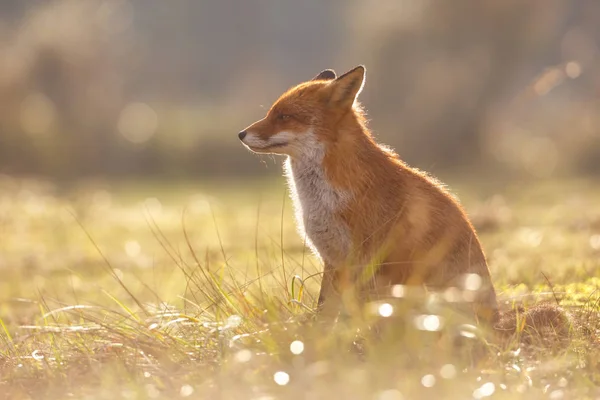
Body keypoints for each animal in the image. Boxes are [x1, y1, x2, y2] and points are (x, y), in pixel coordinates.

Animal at [238, 65, 496, 324]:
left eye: (284, 116)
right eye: (272, 113)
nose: (241, 134)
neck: (325, 199)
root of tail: (497, 317)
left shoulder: (367, 259)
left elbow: (366, 315)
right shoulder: (333, 260)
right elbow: (325, 313)